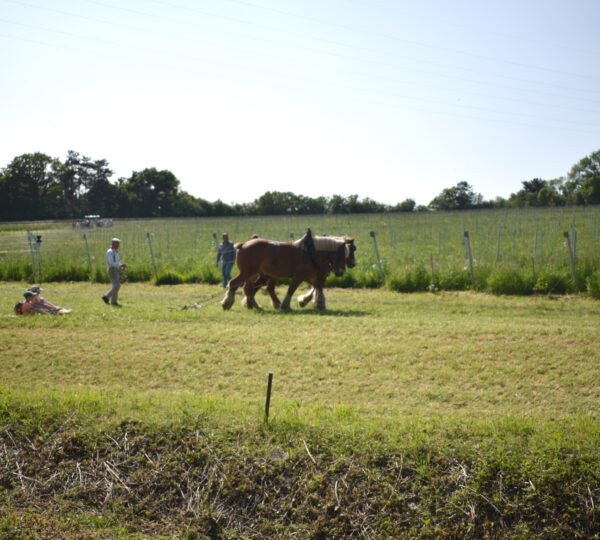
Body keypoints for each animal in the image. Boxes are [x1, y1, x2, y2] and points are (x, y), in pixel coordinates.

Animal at [224, 234, 356, 310]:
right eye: (346, 252)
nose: (341, 272)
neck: (311, 254)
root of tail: (243, 245)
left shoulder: (310, 276)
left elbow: (318, 287)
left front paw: (317, 303)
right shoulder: (300, 276)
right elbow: (292, 289)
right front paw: (286, 305)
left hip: (259, 274)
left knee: (252, 288)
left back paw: (253, 304)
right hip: (248, 272)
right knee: (234, 284)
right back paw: (228, 303)